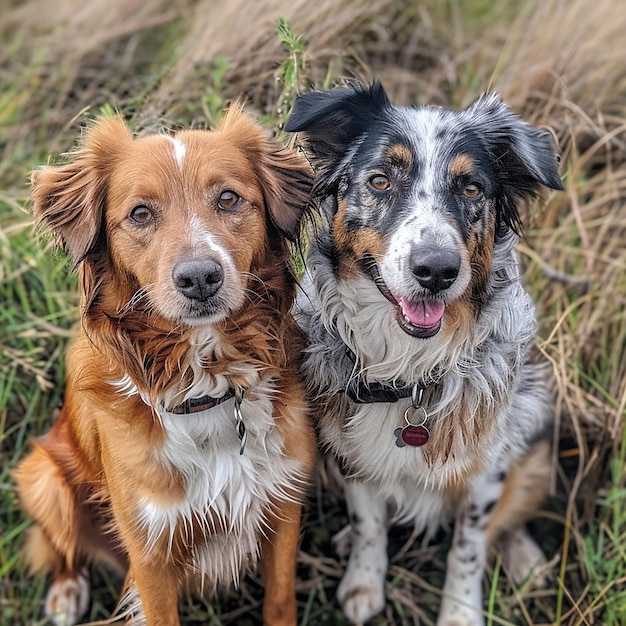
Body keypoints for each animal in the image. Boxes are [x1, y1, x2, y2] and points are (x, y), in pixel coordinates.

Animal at [14, 107, 314, 624]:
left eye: (229, 198)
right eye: (140, 213)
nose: (199, 277)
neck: (207, 385)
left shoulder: (283, 502)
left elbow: (279, 600)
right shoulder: (150, 548)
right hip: (41, 478)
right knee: (63, 546)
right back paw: (66, 593)